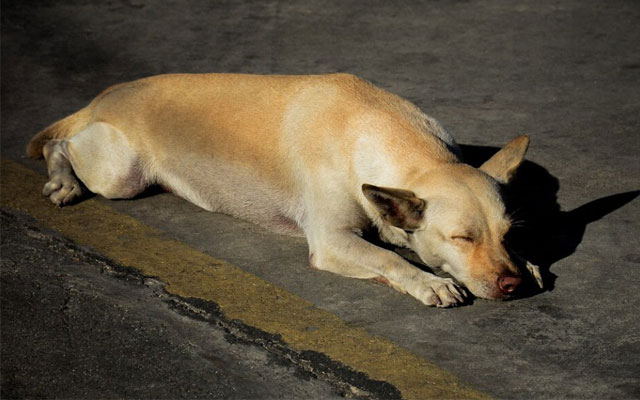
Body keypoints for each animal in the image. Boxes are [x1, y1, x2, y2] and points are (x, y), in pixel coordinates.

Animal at [27, 73, 544, 308]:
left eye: (508, 234)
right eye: (462, 239)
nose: (511, 284)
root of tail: (103, 96)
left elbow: (394, 240)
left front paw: (529, 263)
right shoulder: (332, 241)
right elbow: (389, 259)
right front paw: (429, 281)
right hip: (120, 174)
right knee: (57, 143)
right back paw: (63, 180)